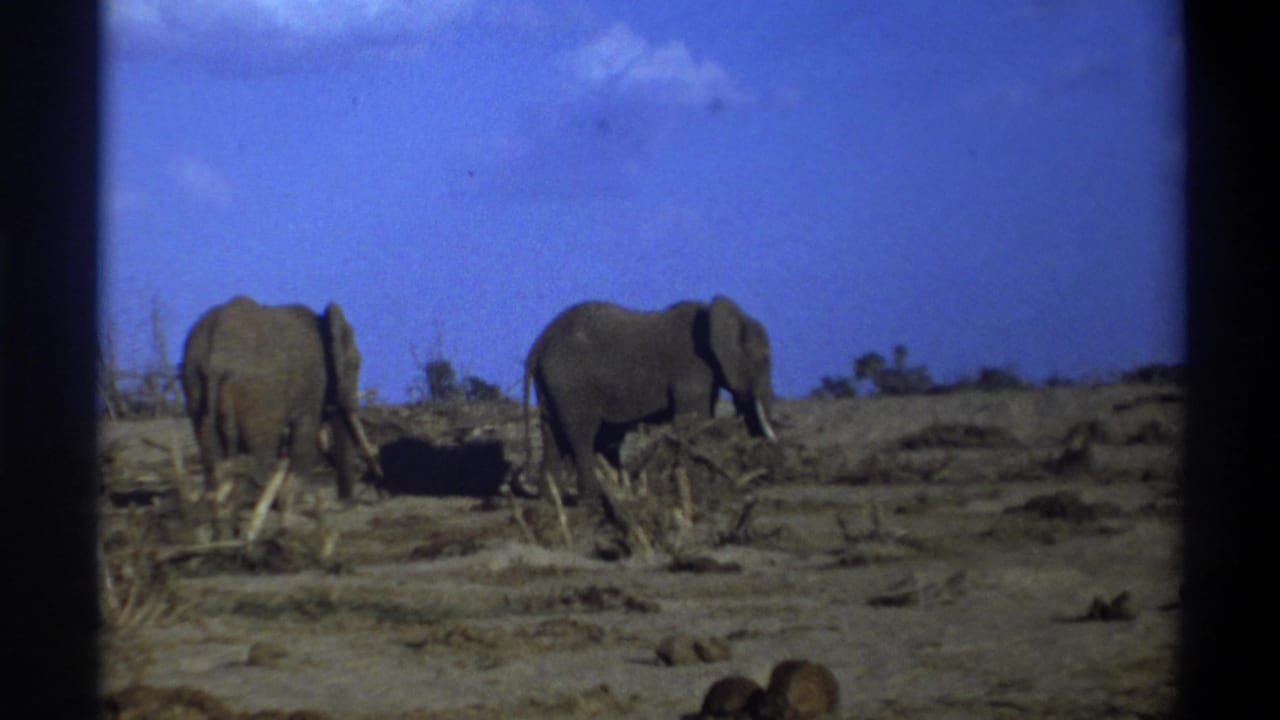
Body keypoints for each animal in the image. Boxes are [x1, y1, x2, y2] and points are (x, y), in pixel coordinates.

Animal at [180, 296, 381, 512]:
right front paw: (296, 501)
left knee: (210, 447)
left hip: (194, 380)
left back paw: (219, 500)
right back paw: (262, 500)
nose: (346, 502)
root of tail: (217, 358)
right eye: (354, 365)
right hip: (258, 393)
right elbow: (305, 433)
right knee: (262, 443)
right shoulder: (313, 381)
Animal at [522, 295, 777, 509]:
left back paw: (549, 502)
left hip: (553, 387)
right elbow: (693, 420)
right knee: (582, 437)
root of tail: (537, 346)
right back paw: (592, 504)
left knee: (552, 437)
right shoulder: (691, 367)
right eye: (765, 359)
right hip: (571, 384)